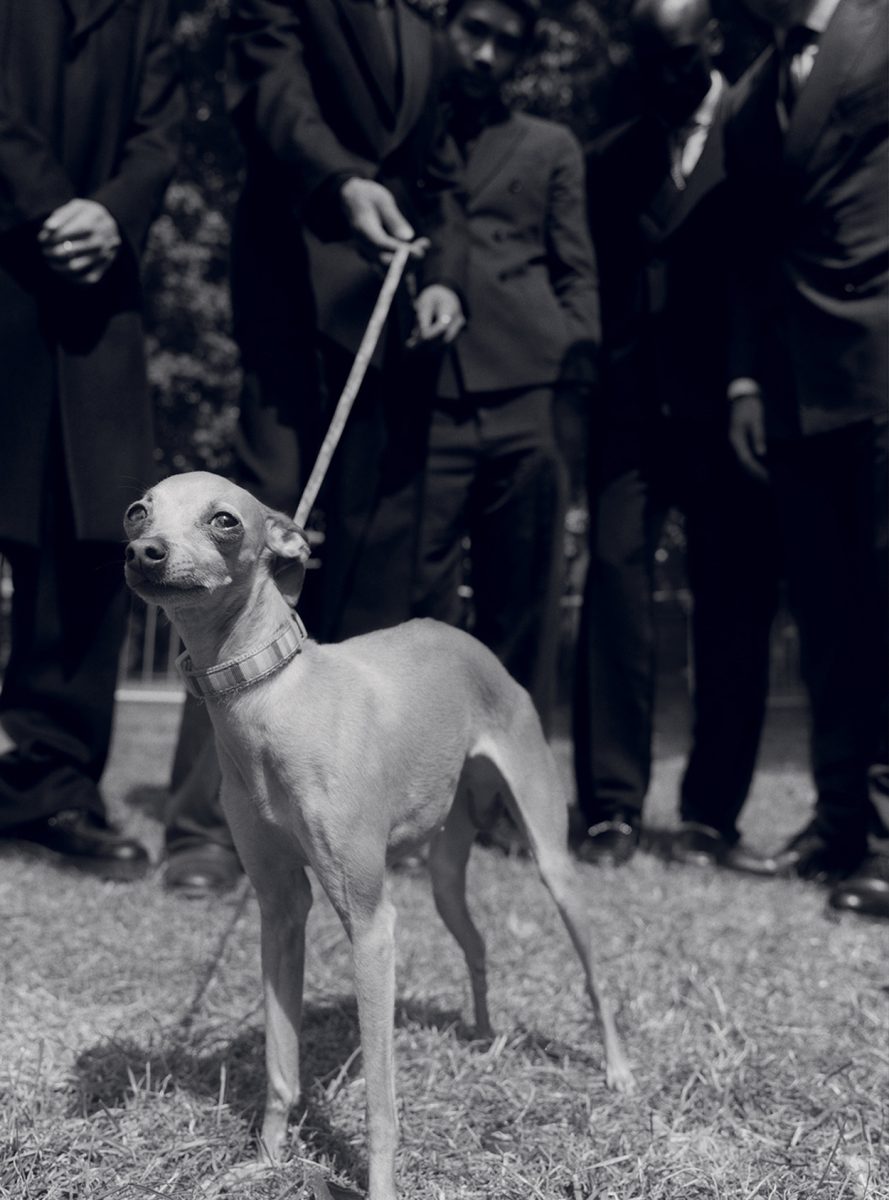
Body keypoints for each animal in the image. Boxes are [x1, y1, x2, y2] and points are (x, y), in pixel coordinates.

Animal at [124, 470, 634, 1200]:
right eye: (138, 511)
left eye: (225, 520)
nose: (145, 553)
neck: (270, 696)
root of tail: (472, 644)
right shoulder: (280, 911)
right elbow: (280, 1063)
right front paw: (267, 1160)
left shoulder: (370, 923)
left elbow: (380, 1103)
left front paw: (379, 1182)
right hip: (446, 872)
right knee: (477, 942)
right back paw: (483, 1036)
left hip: (552, 860)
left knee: (592, 972)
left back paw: (617, 1069)